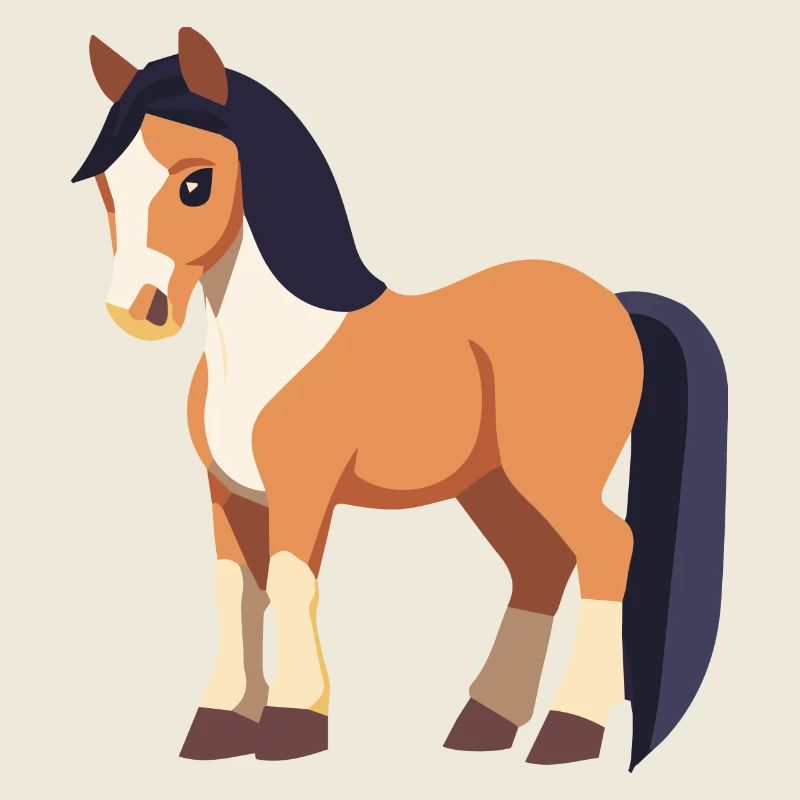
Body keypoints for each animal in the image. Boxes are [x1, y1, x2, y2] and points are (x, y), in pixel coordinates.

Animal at [73, 28, 727, 769]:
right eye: (108, 184)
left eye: (195, 182)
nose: (137, 311)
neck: (268, 345)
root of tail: (615, 304)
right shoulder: (229, 492)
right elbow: (237, 589)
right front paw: (219, 724)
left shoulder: (303, 488)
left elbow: (292, 580)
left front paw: (293, 725)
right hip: (492, 487)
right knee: (539, 566)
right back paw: (484, 724)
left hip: (553, 476)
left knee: (608, 551)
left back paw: (569, 732)